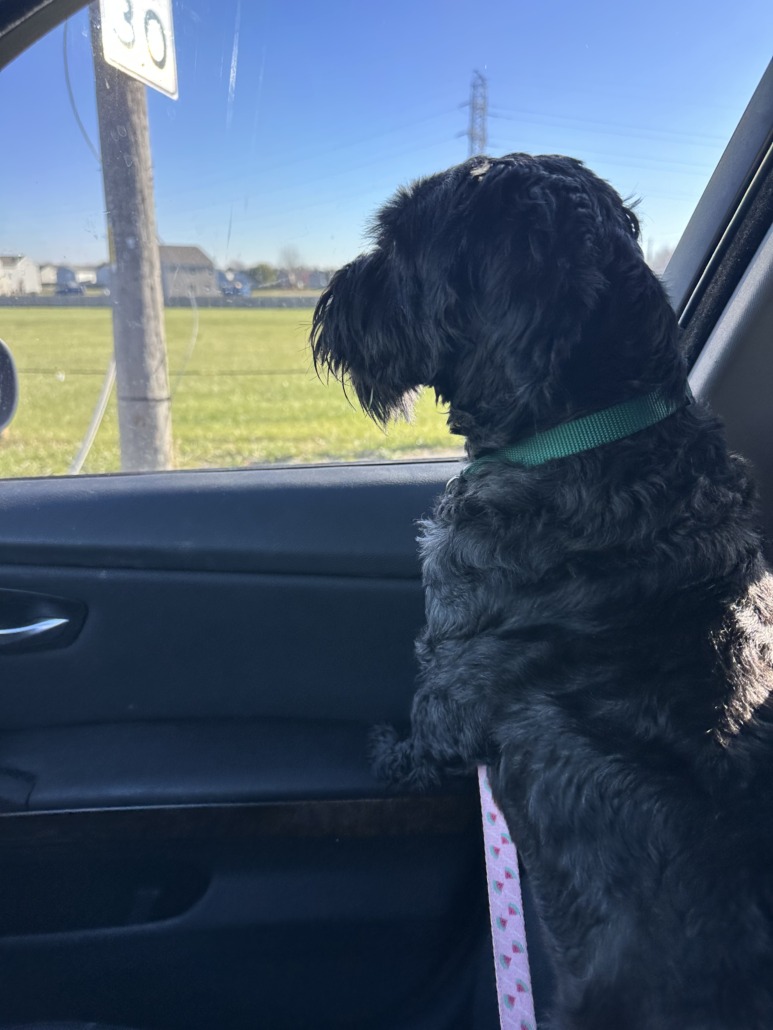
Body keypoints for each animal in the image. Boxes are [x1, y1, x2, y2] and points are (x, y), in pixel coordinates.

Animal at [310, 153, 773, 1028]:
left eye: (398, 242)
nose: (329, 295)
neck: (588, 437)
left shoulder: (449, 675)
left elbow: (421, 743)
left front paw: (384, 751)